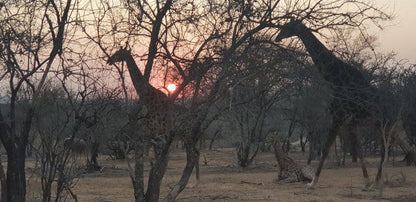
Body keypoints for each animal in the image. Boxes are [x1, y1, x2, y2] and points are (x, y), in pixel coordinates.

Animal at [274, 19, 376, 189]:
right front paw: (367, 183)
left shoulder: (338, 116)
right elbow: (358, 148)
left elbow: (327, 148)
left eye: (287, 27)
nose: (277, 37)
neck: (334, 80)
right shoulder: (348, 120)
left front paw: (312, 183)